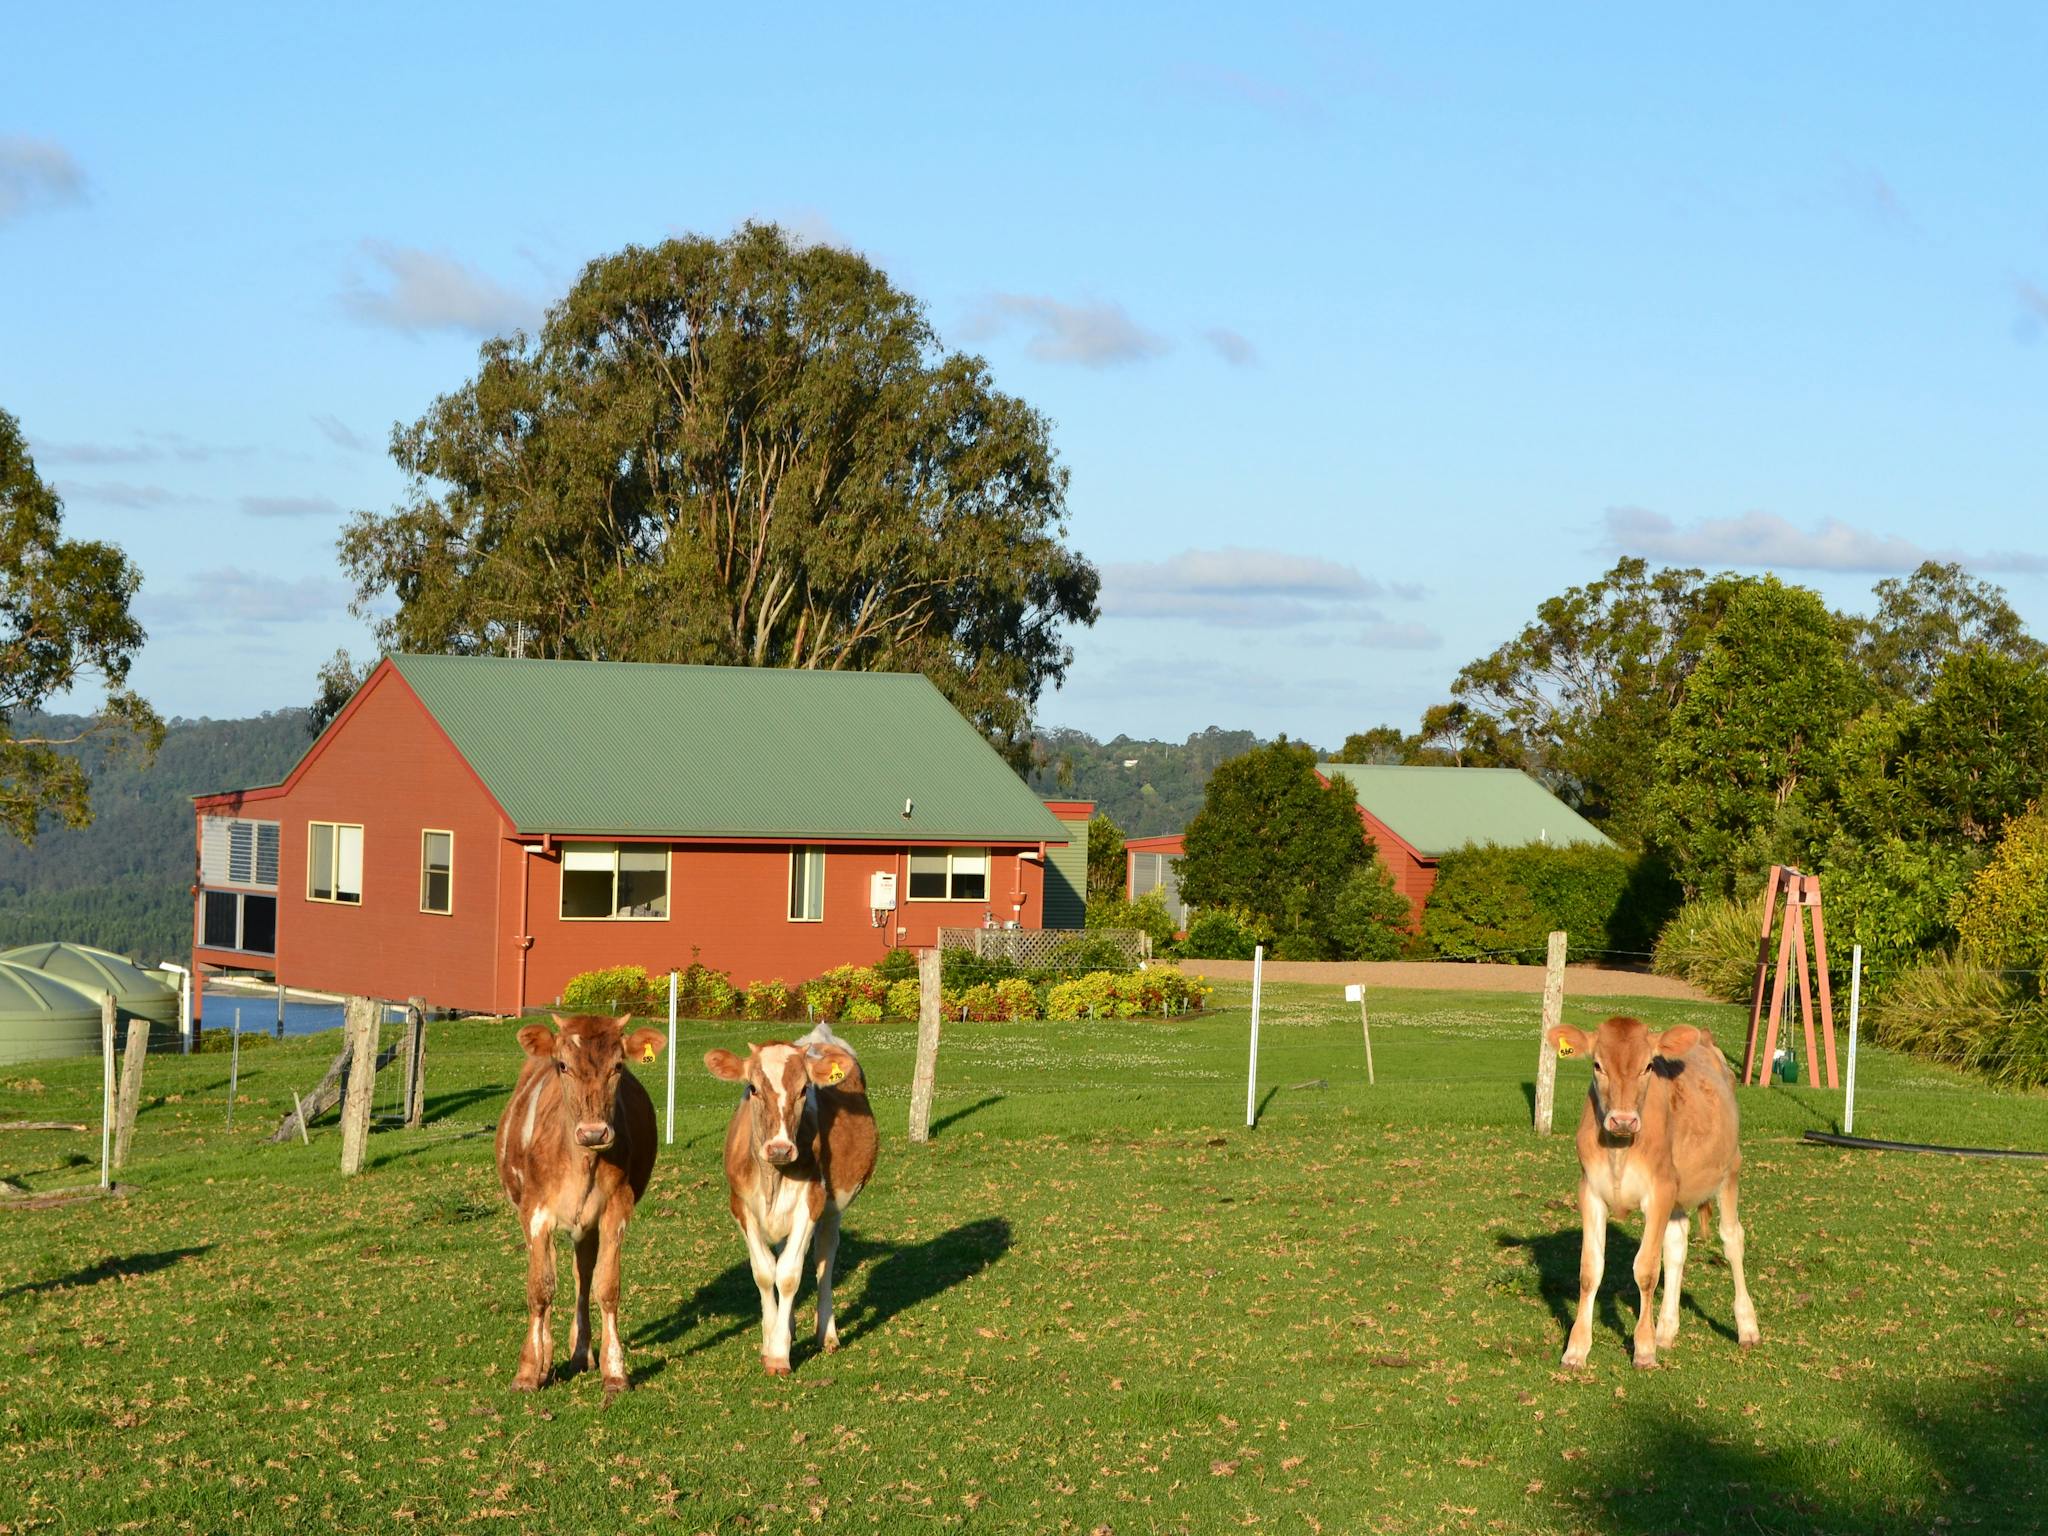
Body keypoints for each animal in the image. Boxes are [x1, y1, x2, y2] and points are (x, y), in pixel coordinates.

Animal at [494, 1012, 666, 1394]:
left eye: (618, 1066)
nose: (593, 1132)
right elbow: (540, 1289)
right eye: (563, 1065)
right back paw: (546, 1359)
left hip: (586, 1225)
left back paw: (581, 1353)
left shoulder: (616, 1208)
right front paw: (529, 1371)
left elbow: (606, 1287)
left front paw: (614, 1372)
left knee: (581, 1276)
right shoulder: (534, 1213)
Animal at [703, 1023, 877, 1375]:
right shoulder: (740, 1206)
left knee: (824, 1258)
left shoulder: (811, 1203)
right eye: (752, 1088)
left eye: (803, 1090)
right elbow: (764, 1271)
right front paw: (772, 1336)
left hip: (833, 1208)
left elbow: (787, 1274)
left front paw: (778, 1353)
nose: (780, 1148)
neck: (772, 1176)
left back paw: (827, 1333)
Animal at [1546, 1016, 1760, 1369]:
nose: (1623, 1120)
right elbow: (1590, 1270)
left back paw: (1747, 1327)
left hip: (1730, 1169)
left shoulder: (1659, 1191)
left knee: (1732, 1240)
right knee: (1676, 1246)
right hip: (1679, 1192)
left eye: (1648, 1066)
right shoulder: (1590, 1191)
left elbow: (1646, 1270)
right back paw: (1666, 1330)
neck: (1619, 1149)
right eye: (1597, 1065)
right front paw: (1576, 1349)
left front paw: (1644, 1349)